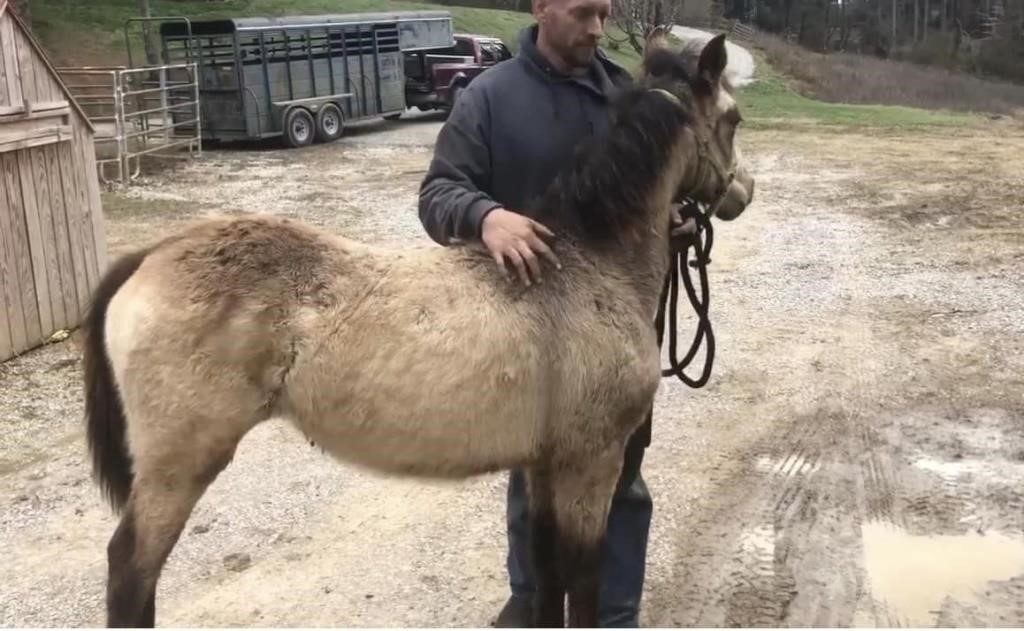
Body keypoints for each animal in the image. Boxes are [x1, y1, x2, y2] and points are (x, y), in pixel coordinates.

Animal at [79, 32, 753, 626]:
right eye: (734, 118)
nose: (742, 192)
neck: (588, 262)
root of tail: (150, 256)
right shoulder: (592, 462)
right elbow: (583, 580)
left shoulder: (543, 465)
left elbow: (545, 572)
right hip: (180, 465)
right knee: (130, 569)